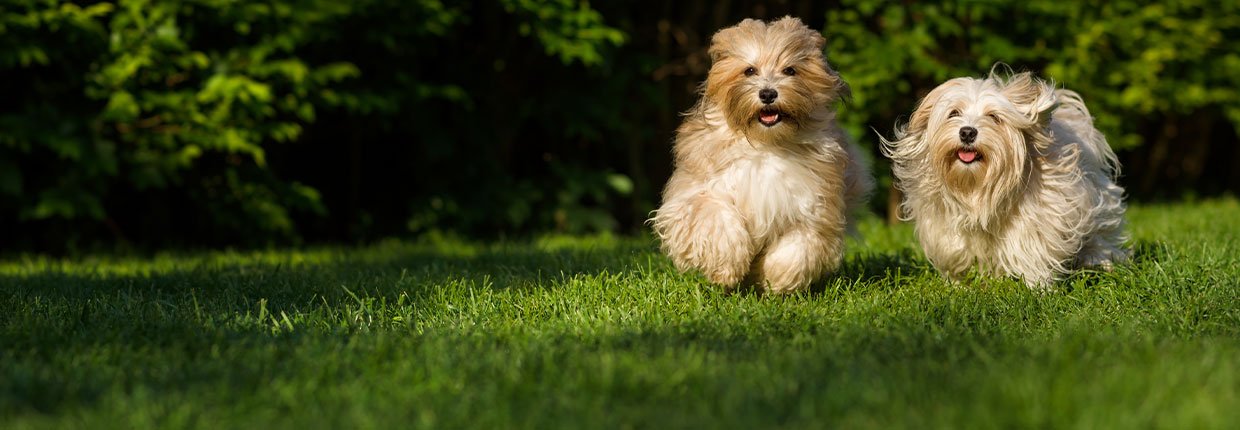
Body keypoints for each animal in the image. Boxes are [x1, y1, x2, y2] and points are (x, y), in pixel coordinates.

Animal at [649, 16, 872, 293]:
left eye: (790, 70)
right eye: (749, 71)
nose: (767, 93)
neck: (766, 145)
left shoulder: (815, 207)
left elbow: (798, 247)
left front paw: (774, 279)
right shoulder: (696, 195)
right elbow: (715, 218)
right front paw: (728, 268)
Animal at [882, 70, 1135, 289]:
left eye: (994, 117)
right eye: (953, 113)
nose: (967, 132)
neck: (976, 186)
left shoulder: (1041, 213)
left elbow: (1032, 246)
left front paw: (1037, 287)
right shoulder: (943, 223)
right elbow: (955, 248)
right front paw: (959, 284)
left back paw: (1098, 261)